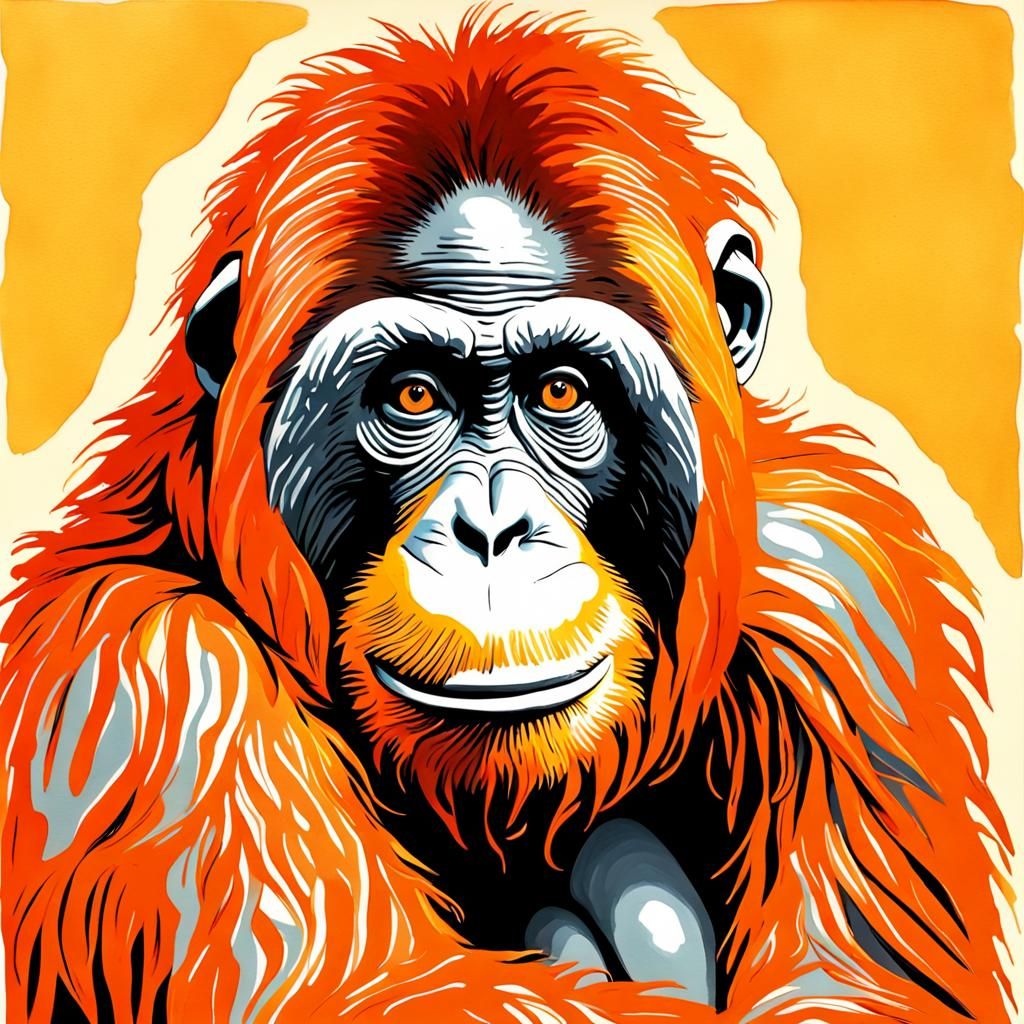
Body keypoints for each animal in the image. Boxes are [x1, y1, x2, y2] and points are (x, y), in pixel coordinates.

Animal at [0, 11, 1012, 1023]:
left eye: (560, 389)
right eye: (413, 395)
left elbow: (853, 990)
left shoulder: (843, 589)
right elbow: (386, 996)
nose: (491, 529)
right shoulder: (159, 688)